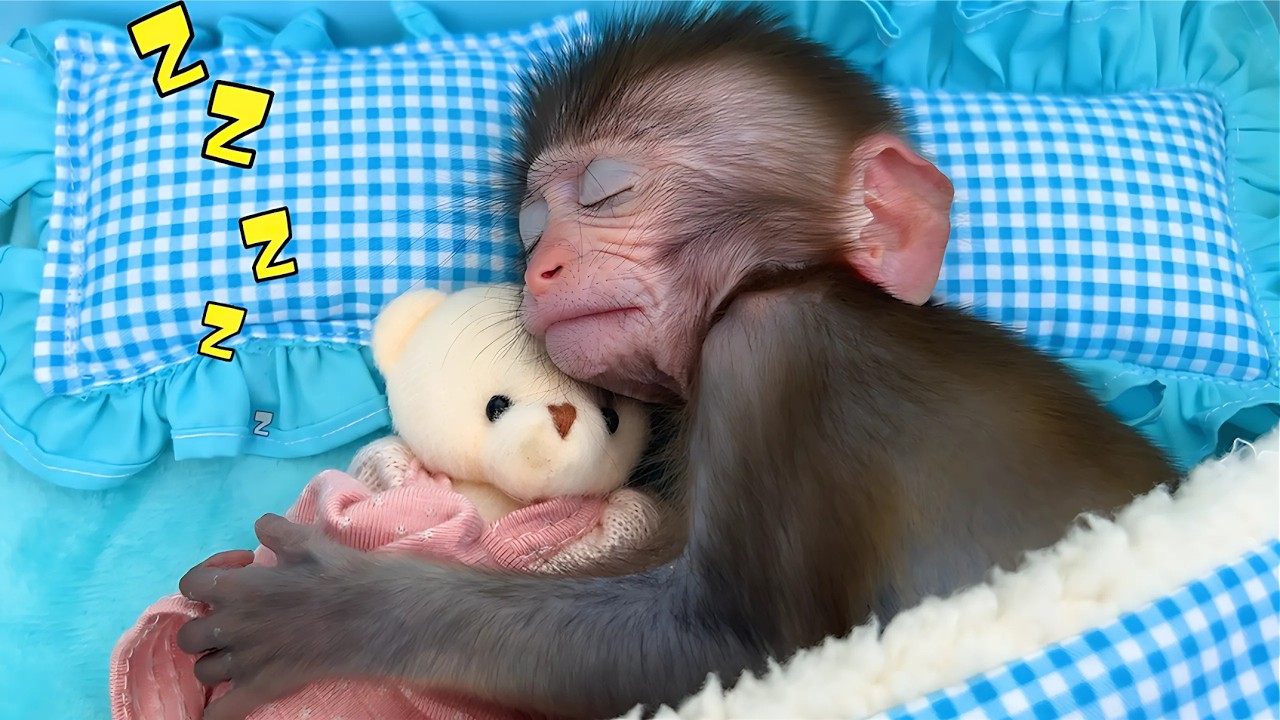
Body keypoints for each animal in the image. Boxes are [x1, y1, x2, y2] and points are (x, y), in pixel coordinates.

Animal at [175, 5, 1180, 720]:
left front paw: (335, 611)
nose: (539, 265)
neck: (781, 282)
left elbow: (732, 648)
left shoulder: (775, 355)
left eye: (605, 192)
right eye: (530, 226)